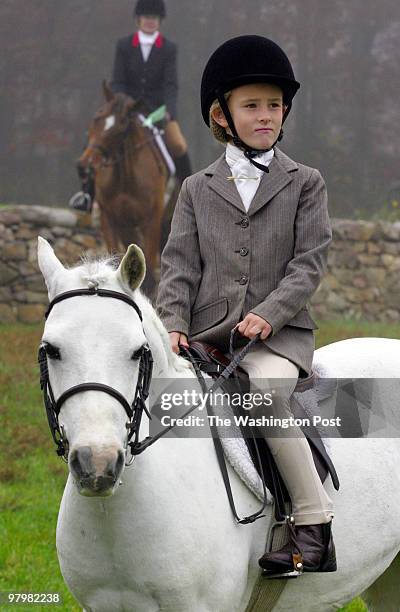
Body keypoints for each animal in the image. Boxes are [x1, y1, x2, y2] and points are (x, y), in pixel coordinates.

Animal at [77, 83, 172, 294]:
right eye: (96, 119)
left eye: (120, 128)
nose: (85, 166)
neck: (125, 177)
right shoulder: (110, 220)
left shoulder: (151, 221)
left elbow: (150, 277)